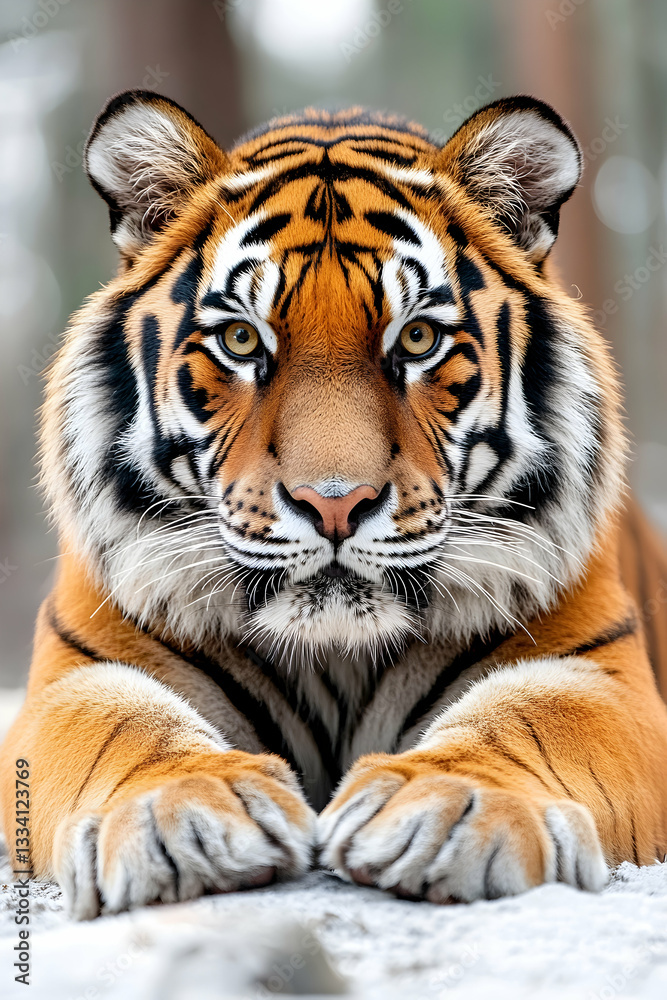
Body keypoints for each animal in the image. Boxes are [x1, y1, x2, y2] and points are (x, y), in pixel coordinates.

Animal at [2, 90, 667, 920]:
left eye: (415, 339)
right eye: (239, 340)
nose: (335, 504)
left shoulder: (597, 674)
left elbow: (528, 718)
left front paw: (445, 806)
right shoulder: (74, 676)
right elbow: (122, 725)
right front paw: (185, 813)